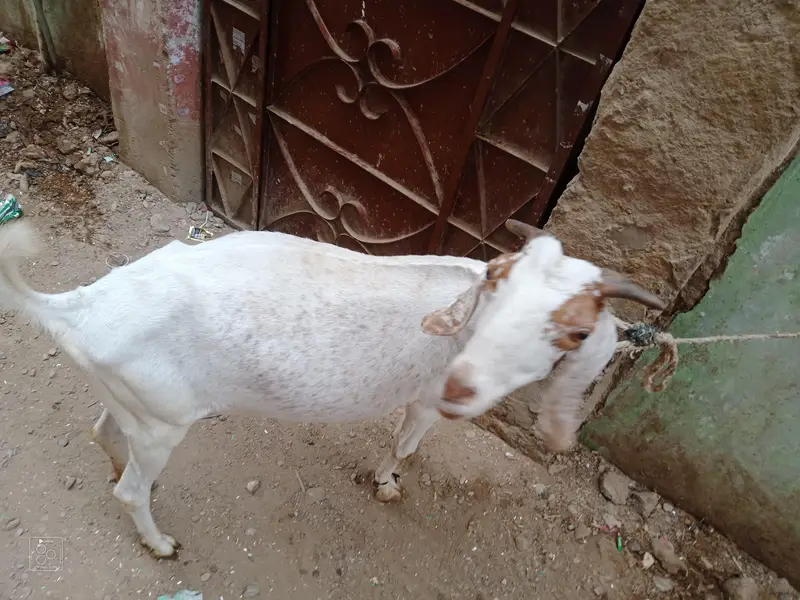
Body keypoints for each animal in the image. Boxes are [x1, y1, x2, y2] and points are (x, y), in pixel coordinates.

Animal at [0, 218, 664, 557]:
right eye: (499, 293)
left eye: (578, 331)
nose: (463, 389)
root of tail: (80, 306)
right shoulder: (425, 400)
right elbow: (403, 446)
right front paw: (388, 484)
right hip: (163, 425)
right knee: (131, 491)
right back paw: (159, 543)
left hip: (136, 407)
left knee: (103, 433)